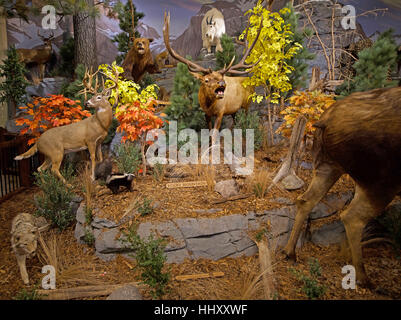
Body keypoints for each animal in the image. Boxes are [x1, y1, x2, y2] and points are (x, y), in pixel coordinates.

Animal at [282, 86, 400, 288]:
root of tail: (325, 121)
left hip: (328, 165)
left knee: (305, 200)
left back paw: (290, 251)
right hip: (381, 180)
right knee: (352, 216)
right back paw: (364, 278)